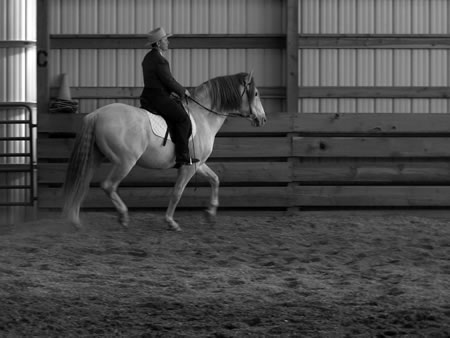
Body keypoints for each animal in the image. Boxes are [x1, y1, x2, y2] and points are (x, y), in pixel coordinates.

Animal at [62, 72, 268, 231]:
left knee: (83, 182)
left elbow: (215, 179)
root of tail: (96, 114)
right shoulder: (188, 168)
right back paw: (123, 216)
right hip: (125, 162)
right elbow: (177, 192)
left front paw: (210, 213)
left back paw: (75, 220)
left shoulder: (197, 164)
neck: (203, 116)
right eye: (256, 94)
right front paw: (171, 222)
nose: (263, 120)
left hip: (96, 157)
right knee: (108, 185)